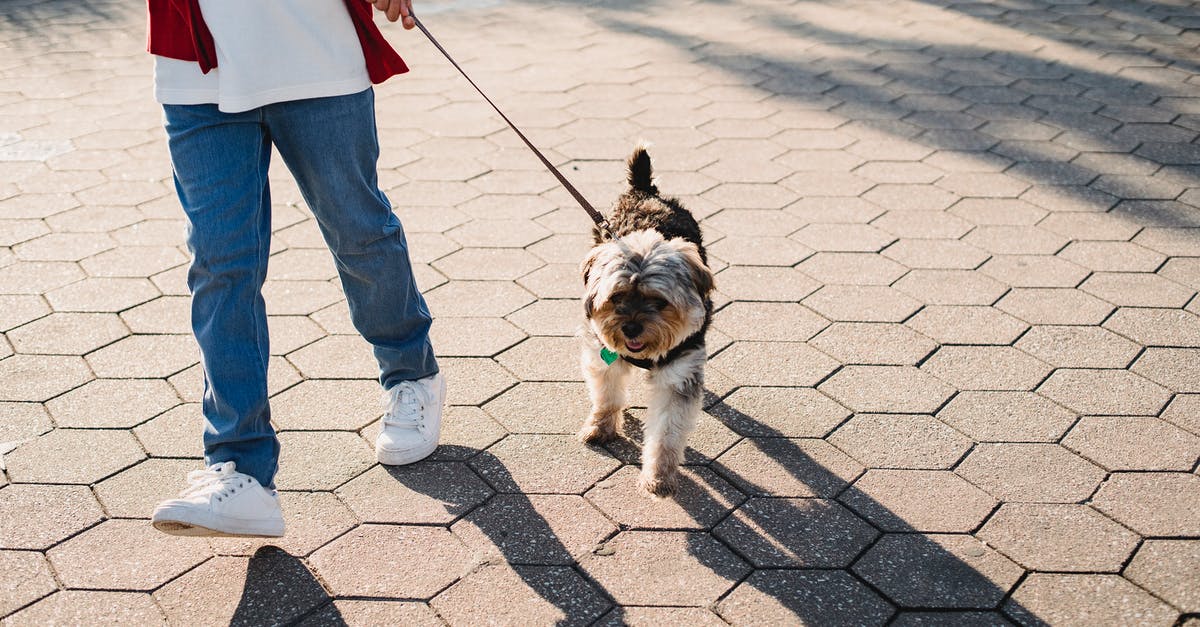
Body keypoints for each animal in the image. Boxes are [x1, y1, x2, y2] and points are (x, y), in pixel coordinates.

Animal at [578, 146, 710, 497]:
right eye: (616, 298)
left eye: (659, 302)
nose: (631, 328)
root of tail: (643, 190)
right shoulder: (603, 353)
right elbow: (607, 394)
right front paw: (601, 426)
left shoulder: (679, 374)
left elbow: (666, 431)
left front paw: (659, 476)